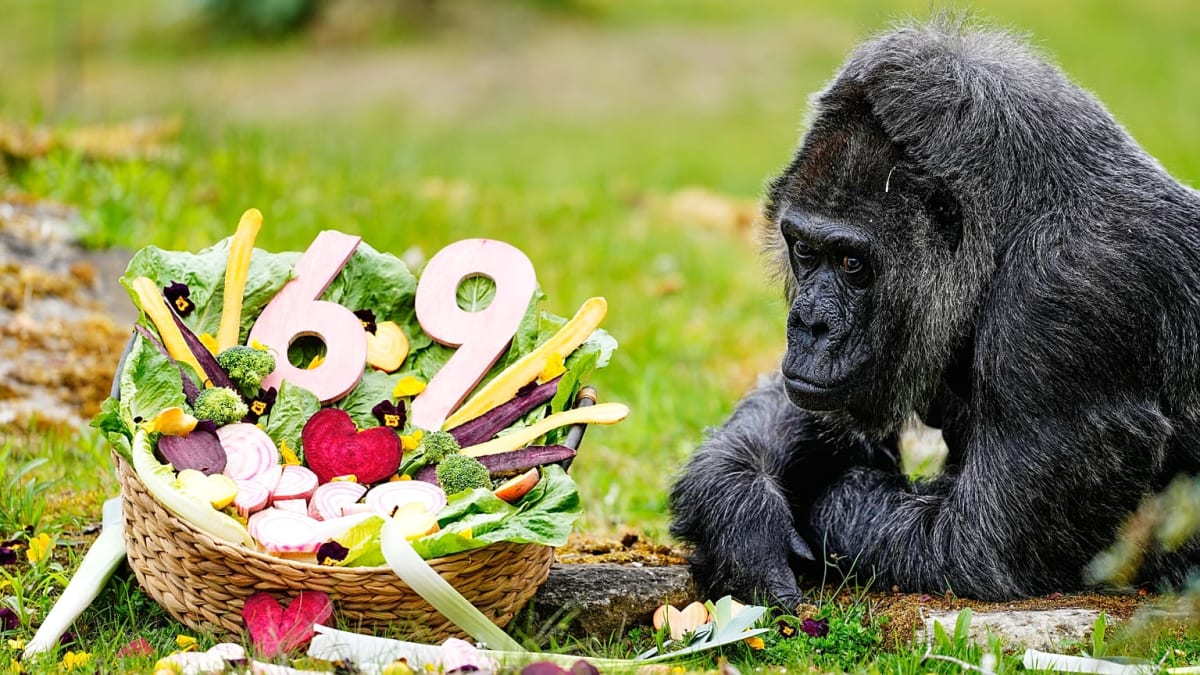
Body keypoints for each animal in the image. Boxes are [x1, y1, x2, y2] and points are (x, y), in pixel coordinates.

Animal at [669, 19, 1200, 607]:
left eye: (852, 263)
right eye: (805, 250)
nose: (809, 325)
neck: (1013, 227)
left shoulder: (1071, 298)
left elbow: (973, 546)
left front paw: (824, 501)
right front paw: (739, 507)